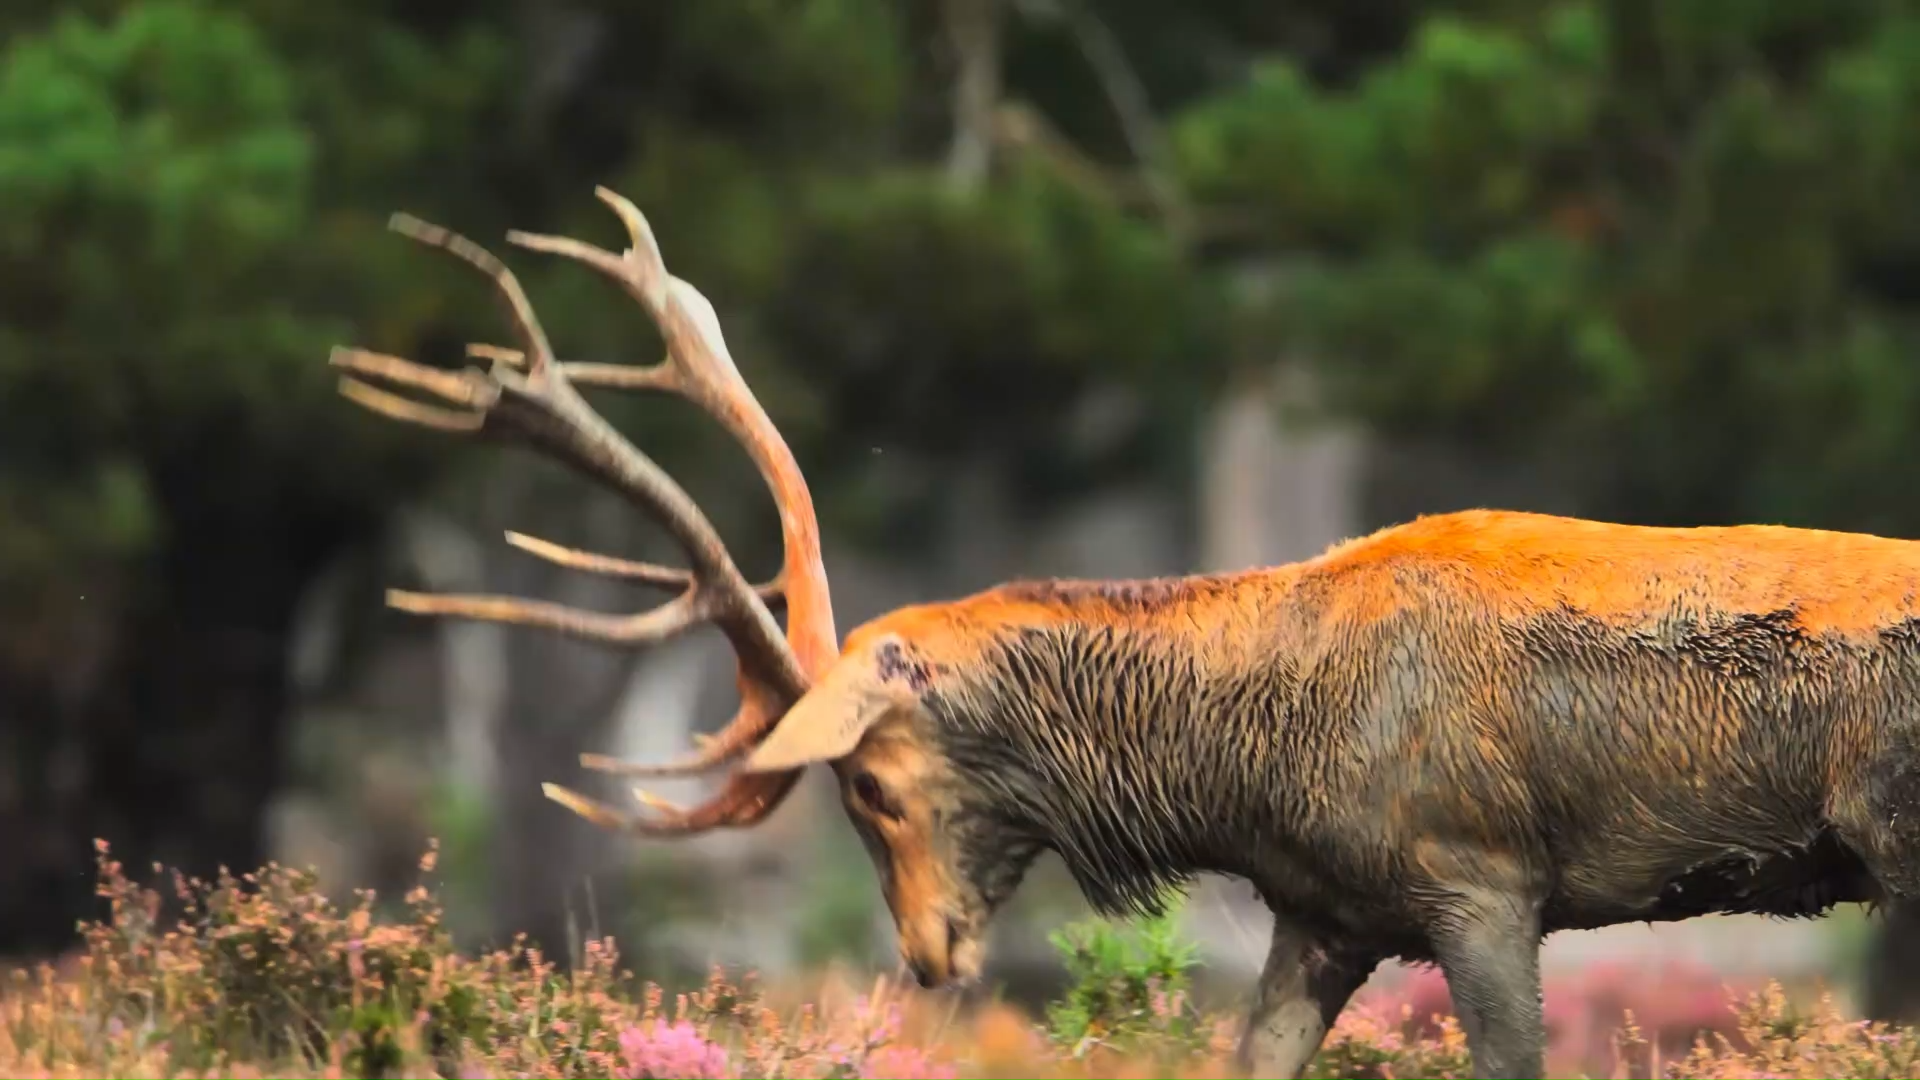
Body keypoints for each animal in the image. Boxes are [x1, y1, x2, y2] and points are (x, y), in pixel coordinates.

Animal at [333, 188, 1920, 1079]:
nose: (926, 959)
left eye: (870, 784)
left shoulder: (1480, 874)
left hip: (1897, 831)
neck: (1253, 767)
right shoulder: (1328, 914)